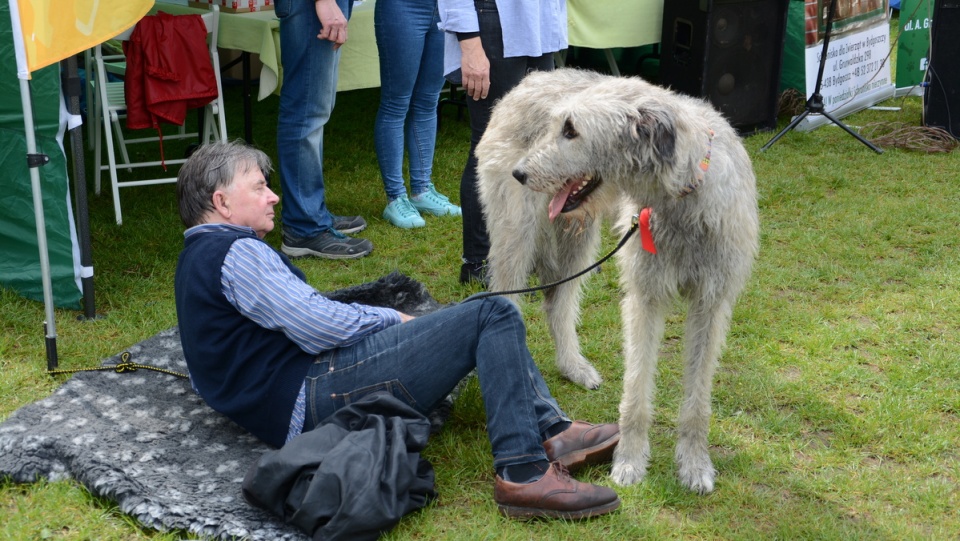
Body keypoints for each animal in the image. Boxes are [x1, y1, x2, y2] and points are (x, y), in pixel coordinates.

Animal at [476, 69, 760, 492]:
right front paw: (629, 461)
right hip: (518, 231)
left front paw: (694, 463)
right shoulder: (645, 297)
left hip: (575, 234)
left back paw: (571, 365)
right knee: (506, 299)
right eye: (557, 126)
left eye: (571, 130)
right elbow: (636, 388)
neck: (681, 197)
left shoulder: (711, 302)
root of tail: (528, 81)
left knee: (557, 302)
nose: (520, 173)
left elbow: (698, 396)